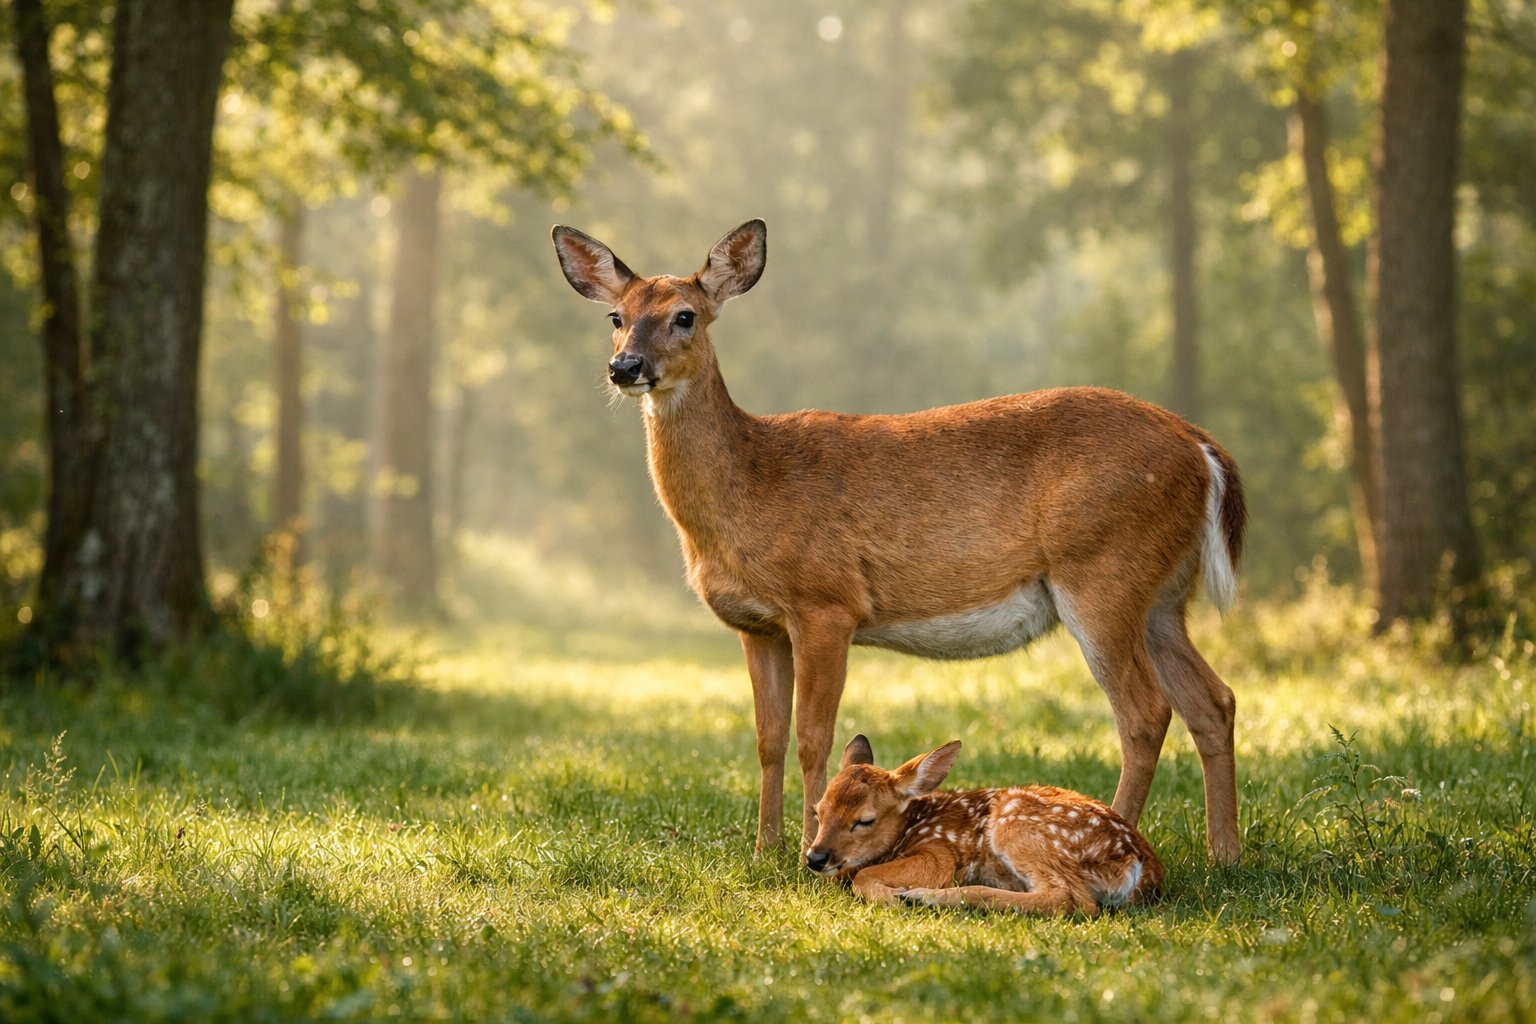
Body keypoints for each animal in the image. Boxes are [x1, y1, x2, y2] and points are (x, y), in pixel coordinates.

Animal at [550, 218, 1247, 865]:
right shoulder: (758, 625)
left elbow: (814, 736)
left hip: (1102, 570)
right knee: (1213, 700)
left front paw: (807, 850)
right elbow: (767, 738)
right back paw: (1225, 853)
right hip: (1161, 597)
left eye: (685, 316)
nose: (625, 367)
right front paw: (764, 850)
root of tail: (1202, 449)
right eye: (617, 316)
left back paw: (1120, 834)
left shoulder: (826, 602)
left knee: (1145, 712)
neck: (747, 487)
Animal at [807, 735, 1164, 915]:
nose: (815, 857)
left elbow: (863, 875)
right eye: (818, 811)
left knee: (1070, 900)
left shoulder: (940, 852)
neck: (910, 826)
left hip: (1017, 825)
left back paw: (923, 897)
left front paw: (892, 896)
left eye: (864, 820)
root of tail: (1142, 868)